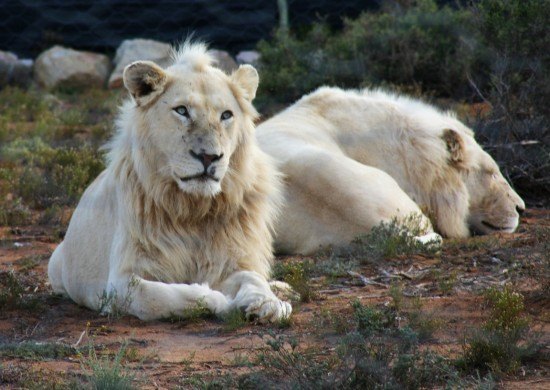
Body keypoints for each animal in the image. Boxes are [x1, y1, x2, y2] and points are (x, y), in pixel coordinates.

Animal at [47, 42, 294, 322]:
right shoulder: (120, 283)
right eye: (182, 111)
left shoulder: (230, 260)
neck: (194, 210)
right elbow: (169, 296)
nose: (209, 156)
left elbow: (253, 278)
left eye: (226, 115)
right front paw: (221, 301)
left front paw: (269, 303)